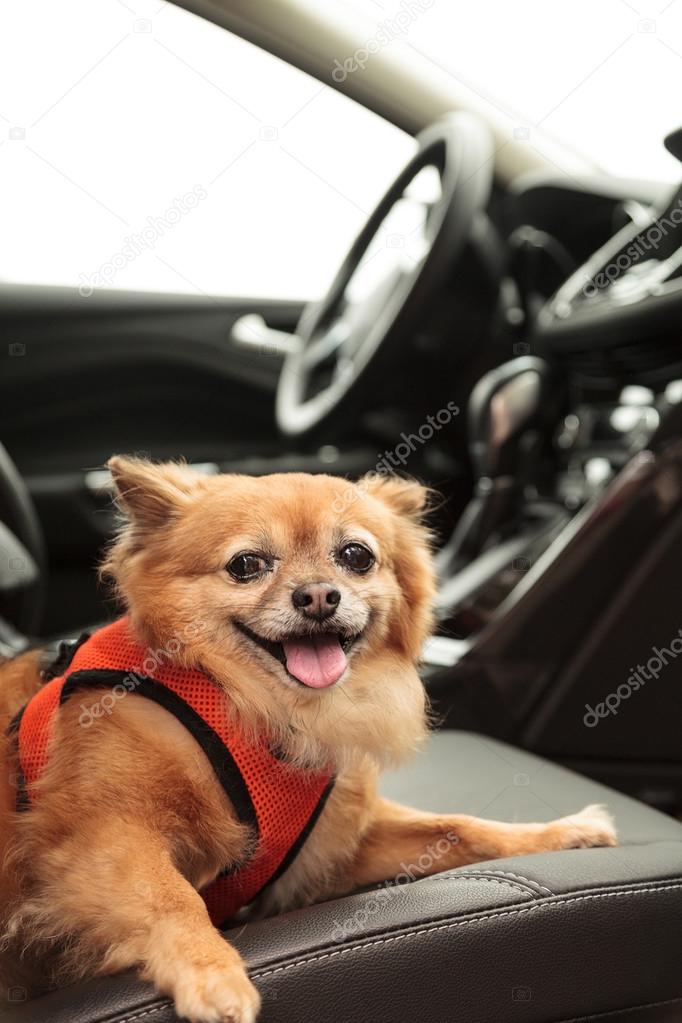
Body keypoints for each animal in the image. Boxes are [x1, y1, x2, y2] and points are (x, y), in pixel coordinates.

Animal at [0, 460, 617, 1018]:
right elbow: (171, 897)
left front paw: (561, 833)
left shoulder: (331, 849)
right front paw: (213, 971)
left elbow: (459, 827)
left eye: (356, 556)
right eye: (246, 565)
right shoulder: (101, 839)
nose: (319, 595)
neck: (257, 707)